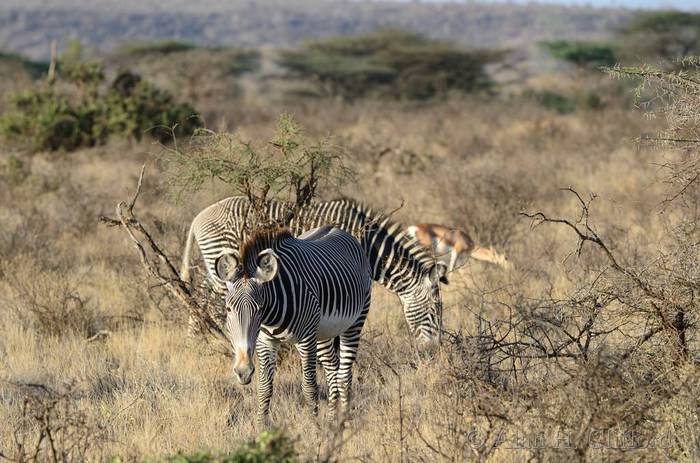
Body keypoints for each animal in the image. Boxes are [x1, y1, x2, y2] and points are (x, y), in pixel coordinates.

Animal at [181, 196, 447, 343]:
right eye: (434, 311)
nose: (434, 352)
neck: (369, 244)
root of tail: (198, 217)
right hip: (222, 260)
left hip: (217, 264)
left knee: (200, 295)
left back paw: (196, 338)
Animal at [218, 226, 372, 423]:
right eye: (228, 309)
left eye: (260, 308)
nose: (243, 371)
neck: (271, 317)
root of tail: (338, 229)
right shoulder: (264, 341)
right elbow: (265, 388)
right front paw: (261, 426)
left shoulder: (306, 338)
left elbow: (309, 387)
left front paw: (314, 426)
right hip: (321, 334)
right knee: (333, 369)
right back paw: (332, 420)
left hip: (354, 322)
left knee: (344, 375)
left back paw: (344, 422)